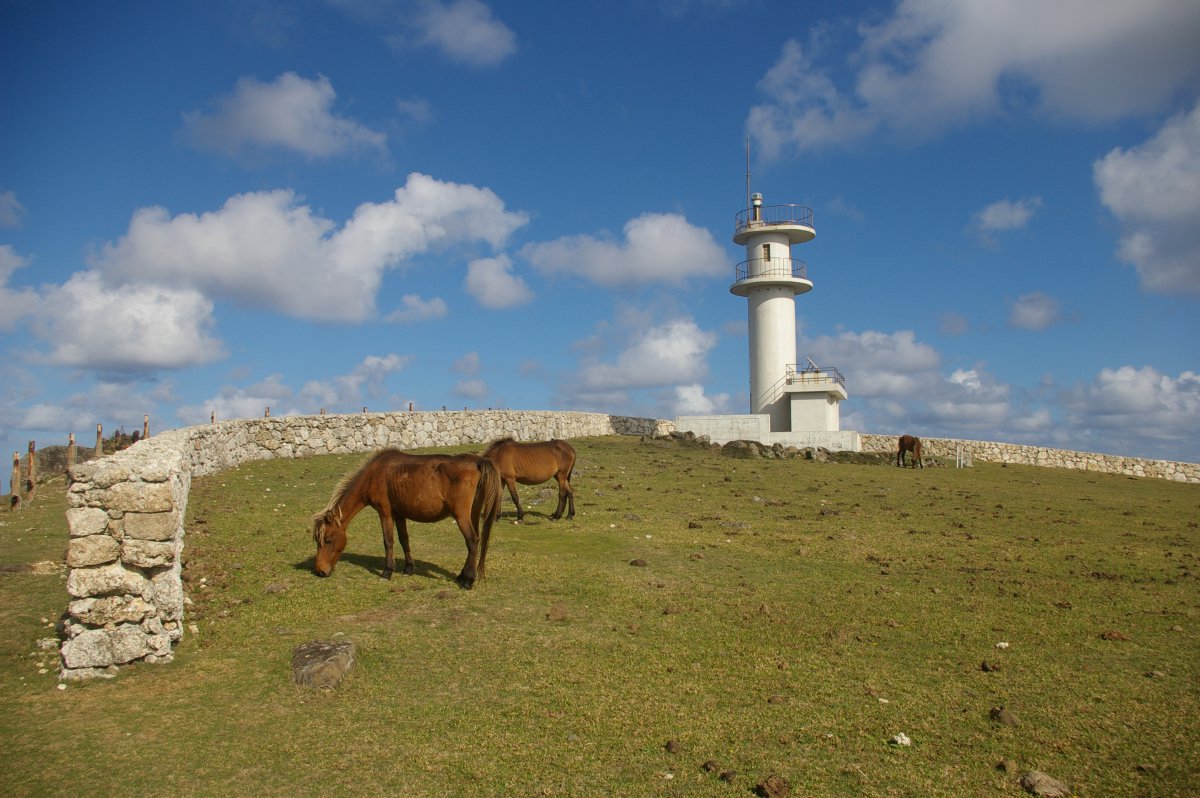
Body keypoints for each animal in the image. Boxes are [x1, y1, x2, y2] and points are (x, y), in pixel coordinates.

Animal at [309, 451, 501, 588]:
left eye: (328, 540)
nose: (321, 571)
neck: (374, 474)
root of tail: (477, 462)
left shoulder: (385, 513)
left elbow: (388, 541)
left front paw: (387, 571)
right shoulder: (399, 514)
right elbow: (404, 540)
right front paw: (408, 568)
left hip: (461, 516)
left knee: (472, 541)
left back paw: (468, 580)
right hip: (473, 513)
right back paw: (462, 576)